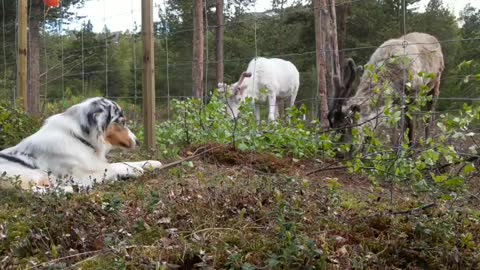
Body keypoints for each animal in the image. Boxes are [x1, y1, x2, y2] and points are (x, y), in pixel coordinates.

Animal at [0, 97, 162, 192]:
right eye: (122, 122)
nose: (138, 141)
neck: (78, 137)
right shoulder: (80, 173)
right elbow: (114, 167)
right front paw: (133, 170)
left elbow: (122, 162)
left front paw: (152, 163)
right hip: (37, 175)